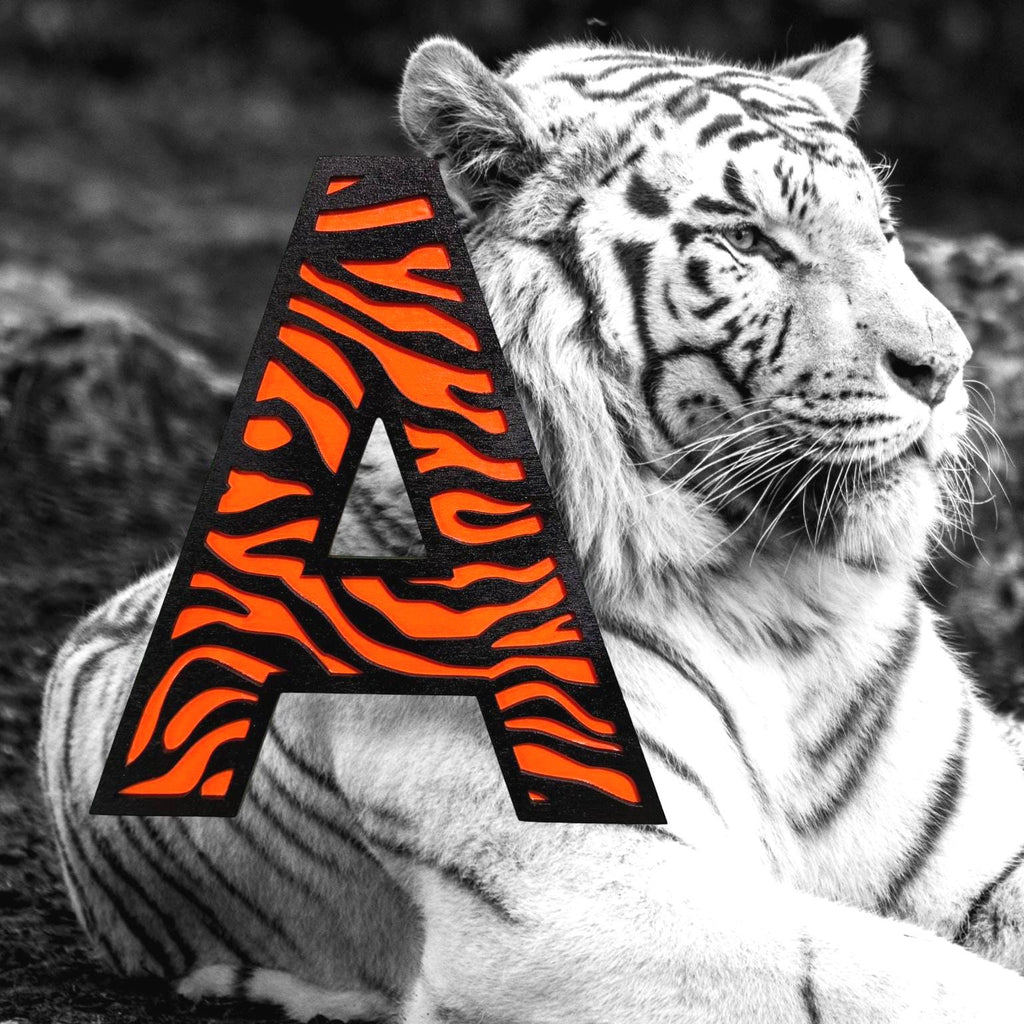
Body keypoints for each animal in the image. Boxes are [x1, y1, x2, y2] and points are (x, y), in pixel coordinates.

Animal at [38, 32, 1024, 1024]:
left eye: (885, 233)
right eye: (747, 239)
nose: (945, 366)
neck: (779, 604)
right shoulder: (583, 893)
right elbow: (899, 979)